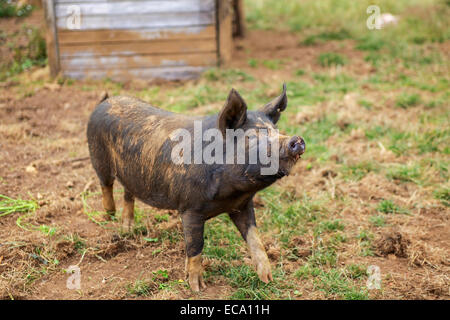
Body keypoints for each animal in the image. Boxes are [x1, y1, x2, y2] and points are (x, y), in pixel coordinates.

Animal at [87, 84, 306, 292]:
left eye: (276, 131)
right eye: (251, 137)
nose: (296, 139)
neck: (230, 195)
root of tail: (105, 102)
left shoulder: (242, 205)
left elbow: (255, 239)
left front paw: (268, 279)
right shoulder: (189, 207)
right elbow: (195, 246)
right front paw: (196, 288)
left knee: (128, 194)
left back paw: (127, 228)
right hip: (98, 157)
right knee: (106, 185)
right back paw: (109, 216)